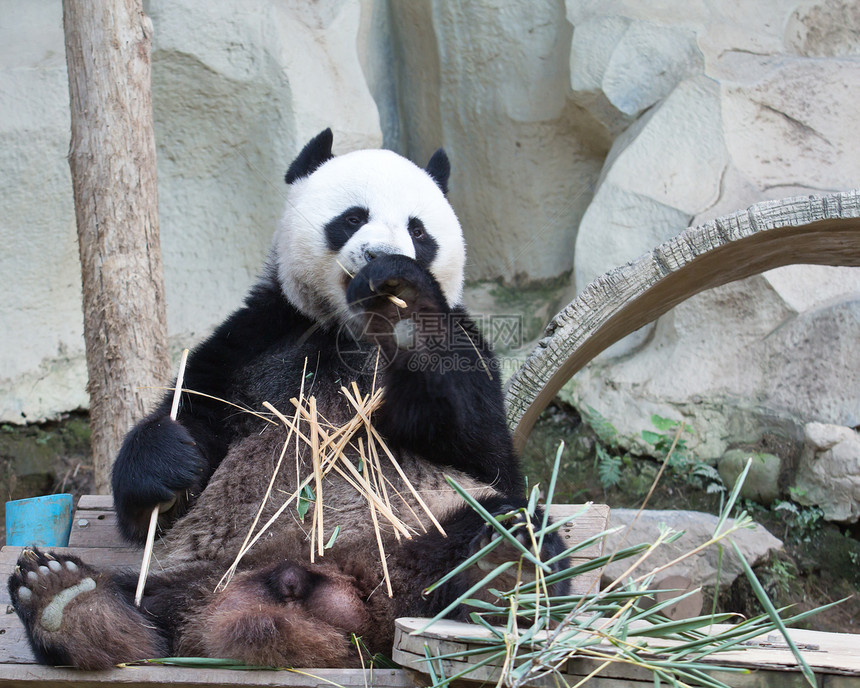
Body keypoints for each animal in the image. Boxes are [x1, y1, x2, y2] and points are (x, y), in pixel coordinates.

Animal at [11, 130, 572, 672]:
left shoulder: (471, 352)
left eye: (417, 232)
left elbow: (484, 451)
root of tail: (343, 604)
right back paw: (70, 602)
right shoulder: (255, 340)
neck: (351, 332)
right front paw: (168, 466)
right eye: (352, 218)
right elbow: (178, 453)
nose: (379, 258)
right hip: (206, 571)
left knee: (499, 525)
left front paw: (407, 297)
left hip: (422, 530)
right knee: (147, 603)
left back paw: (504, 567)